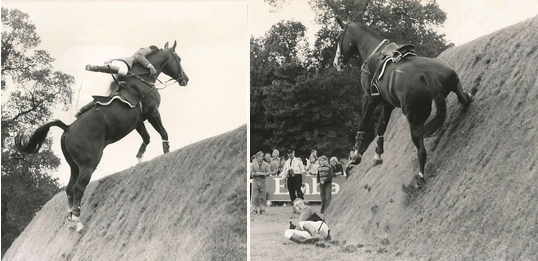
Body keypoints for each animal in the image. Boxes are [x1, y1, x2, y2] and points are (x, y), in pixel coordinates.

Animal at [14, 40, 188, 230]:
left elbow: (146, 138)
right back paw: (77, 220)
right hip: (88, 165)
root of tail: (68, 128)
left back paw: (70, 218)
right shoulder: (152, 112)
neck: (142, 79)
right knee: (78, 188)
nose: (185, 79)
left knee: (69, 188)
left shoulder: (138, 121)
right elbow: (163, 132)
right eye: (178, 58)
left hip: (74, 166)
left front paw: (140, 157)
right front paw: (166, 151)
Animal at [330, 18, 474, 185]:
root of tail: (427, 73)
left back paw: (420, 177)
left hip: (414, 120)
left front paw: (355, 156)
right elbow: (381, 128)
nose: (336, 63)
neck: (373, 52)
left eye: (338, 38)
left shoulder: (370, 97)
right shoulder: (387, 104)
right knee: (464, 99)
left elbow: (363, 123)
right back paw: (468, 97)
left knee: (421, 151)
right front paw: (378, 154)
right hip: (453, 85)